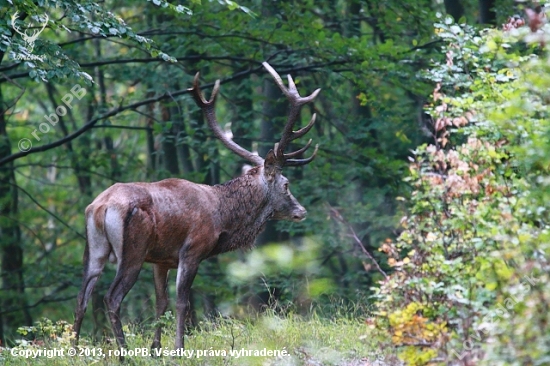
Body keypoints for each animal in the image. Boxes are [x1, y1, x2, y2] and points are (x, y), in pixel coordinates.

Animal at [74, 62, 324, 352]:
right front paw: (178, 349)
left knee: (81, 298)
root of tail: (101, 207)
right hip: (132, 250)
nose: (301, 211)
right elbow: (183, 303)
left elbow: (161, 303)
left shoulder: (160, 259)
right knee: (111, 298)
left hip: (94, 249)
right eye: (286, 184)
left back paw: (74, 350)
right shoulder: (192, 250)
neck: (222, 219)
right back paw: (124, 353)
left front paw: (156, 350)